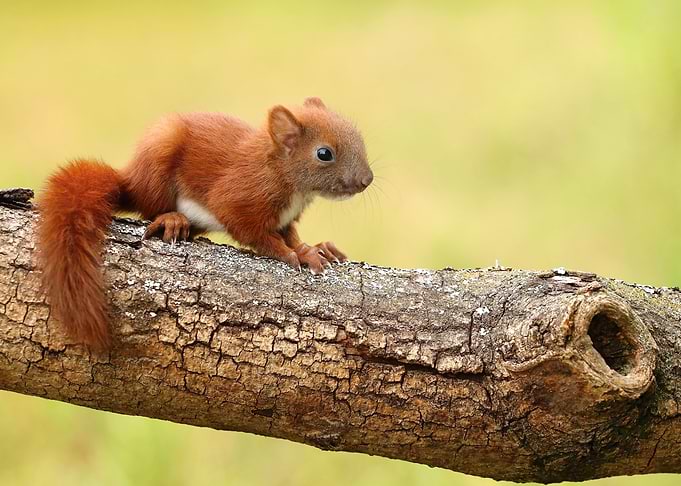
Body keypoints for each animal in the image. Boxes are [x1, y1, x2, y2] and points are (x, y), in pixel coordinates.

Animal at [36, 97, 373, 349]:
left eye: (359, 138)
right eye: (324, 153)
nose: (366, 180)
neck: (291, 184)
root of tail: (130, 180)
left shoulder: (286, 218)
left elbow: (291, 234)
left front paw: (314, 249)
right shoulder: (237, 197)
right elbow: (257, 234)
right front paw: (290, 254)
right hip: (159, 156)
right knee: (150, 208)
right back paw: (171, 219)